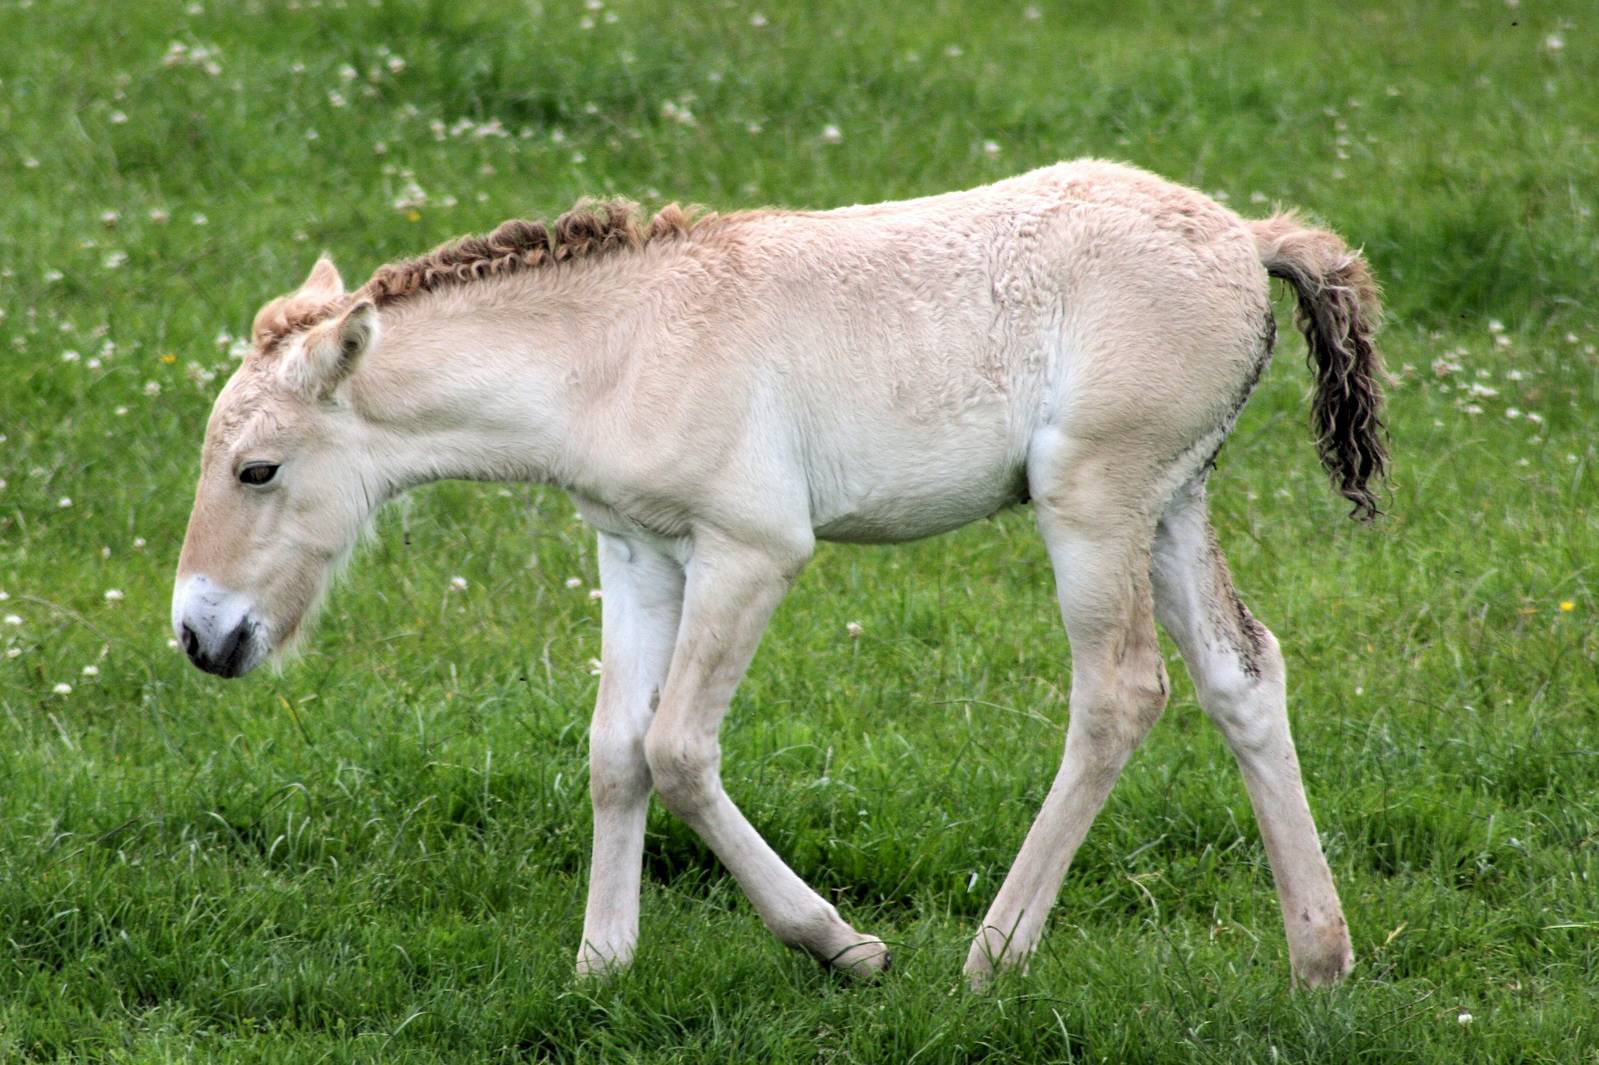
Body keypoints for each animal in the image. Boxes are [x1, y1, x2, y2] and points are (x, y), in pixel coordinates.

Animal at [172, 160, 1385, 987]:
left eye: (257, 468)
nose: (199, 635)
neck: (614, 352)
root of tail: (1247, 237)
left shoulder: (749, 551)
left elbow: (675, 749)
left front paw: (839, 944)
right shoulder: (636, 553)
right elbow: (614, 753)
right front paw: (601, 965)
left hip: (1093, 500)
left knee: (1122, 691)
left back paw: (993, 955)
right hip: (1170, 504)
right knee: (1242, 674)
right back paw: (1318, 958)